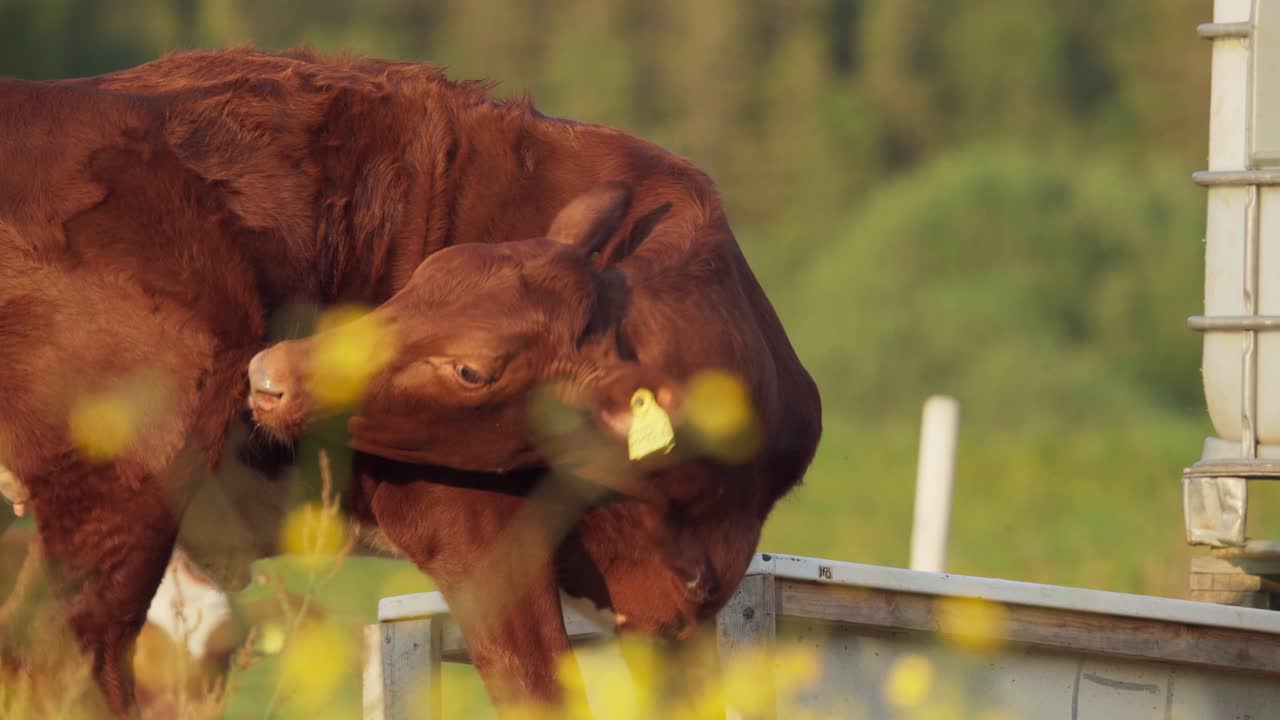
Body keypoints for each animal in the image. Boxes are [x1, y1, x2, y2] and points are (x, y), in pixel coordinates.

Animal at [0, 47, 820, 716]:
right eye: (412, 283)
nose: (268, 371)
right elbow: (538, 689)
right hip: (124, 473)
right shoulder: (475, 534)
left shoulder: (677, 614)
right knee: (64, 657)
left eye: (471, 368)